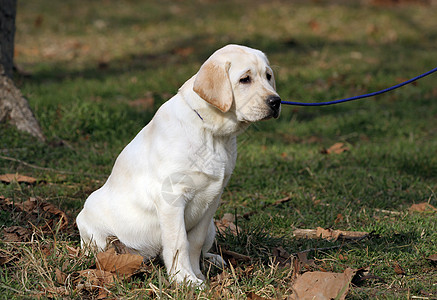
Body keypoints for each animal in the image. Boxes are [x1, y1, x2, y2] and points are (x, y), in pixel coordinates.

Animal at [76, 44, 280, 286]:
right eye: (244, 79)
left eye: (268, 76)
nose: (276, 101)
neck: (212, 133)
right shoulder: (171, 198)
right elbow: (178, 242)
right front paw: (185, 280)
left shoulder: (212, 200)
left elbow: (195, 242)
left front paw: (197, 275)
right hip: (92, 224)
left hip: (212, 226)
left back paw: (213, 259)